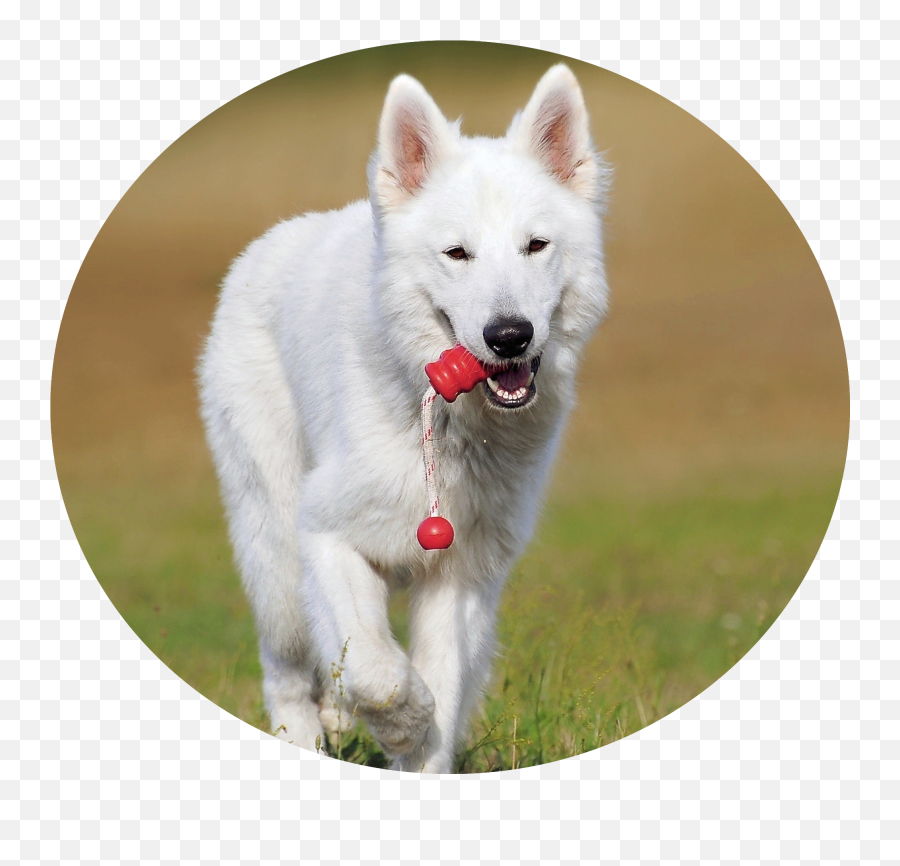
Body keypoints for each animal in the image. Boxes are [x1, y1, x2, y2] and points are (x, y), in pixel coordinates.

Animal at [200, 66, 608, 768]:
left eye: (536, 246)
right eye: (457, 253)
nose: (509, 336)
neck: (446, 425)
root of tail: (270, 242)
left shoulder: (461, 575)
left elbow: (437, 682)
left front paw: (418, 747)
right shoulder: (326, 534)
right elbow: (379, 673)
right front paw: (403, 722)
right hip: (275, 552)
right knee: (286, 671)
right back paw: (306, 736)